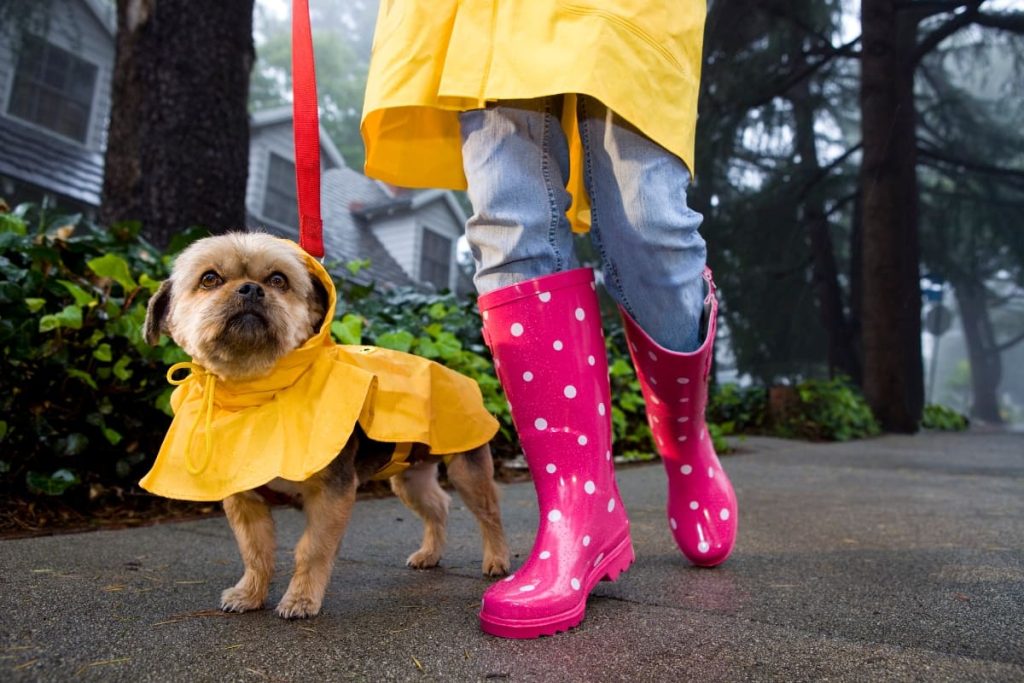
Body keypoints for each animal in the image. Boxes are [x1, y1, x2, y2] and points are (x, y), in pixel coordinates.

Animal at [144, 233, 512, 618]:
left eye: (278, 280)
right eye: (210, 279)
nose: (250, 289)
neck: (257, 391)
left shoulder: (331, 494)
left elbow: (312, 548)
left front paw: (301, 599)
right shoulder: (244, 501)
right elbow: (255, 551)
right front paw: (250, 593)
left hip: (467, 471)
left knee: (490, 513)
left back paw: (497, 560)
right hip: (410, 478)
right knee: (438, 505)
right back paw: (430, 553)